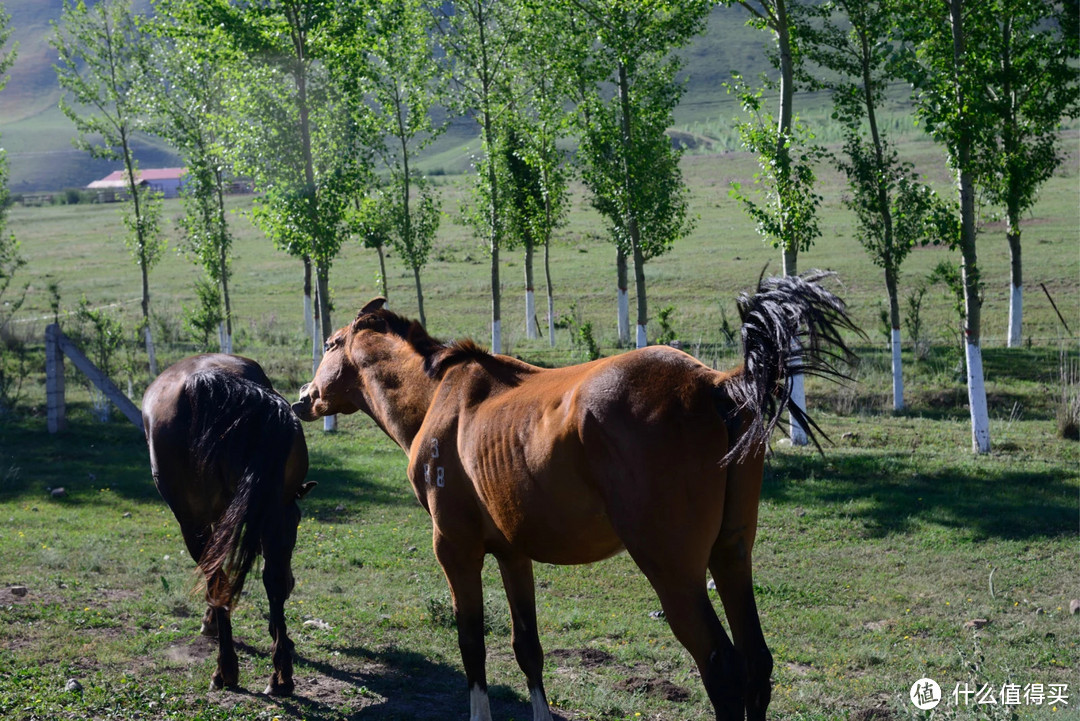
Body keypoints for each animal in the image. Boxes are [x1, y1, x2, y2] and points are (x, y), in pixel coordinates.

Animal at [143, 351, 315, 695]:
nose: (294, 583)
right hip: (274, 513)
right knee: (270, 579)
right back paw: (281, 675)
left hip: (193, 523)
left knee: (219, 580)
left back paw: (226, 670)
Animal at [291, 273, 855, 716]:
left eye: (330, 344)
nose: (302, 397)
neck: (439, 396)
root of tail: (717, 384)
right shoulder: (513, 554)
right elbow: (528, 647)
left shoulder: (455, 549)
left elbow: (472, 645)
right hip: (731, 555)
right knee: (757, 663)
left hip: (674, 571)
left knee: (723, 667)